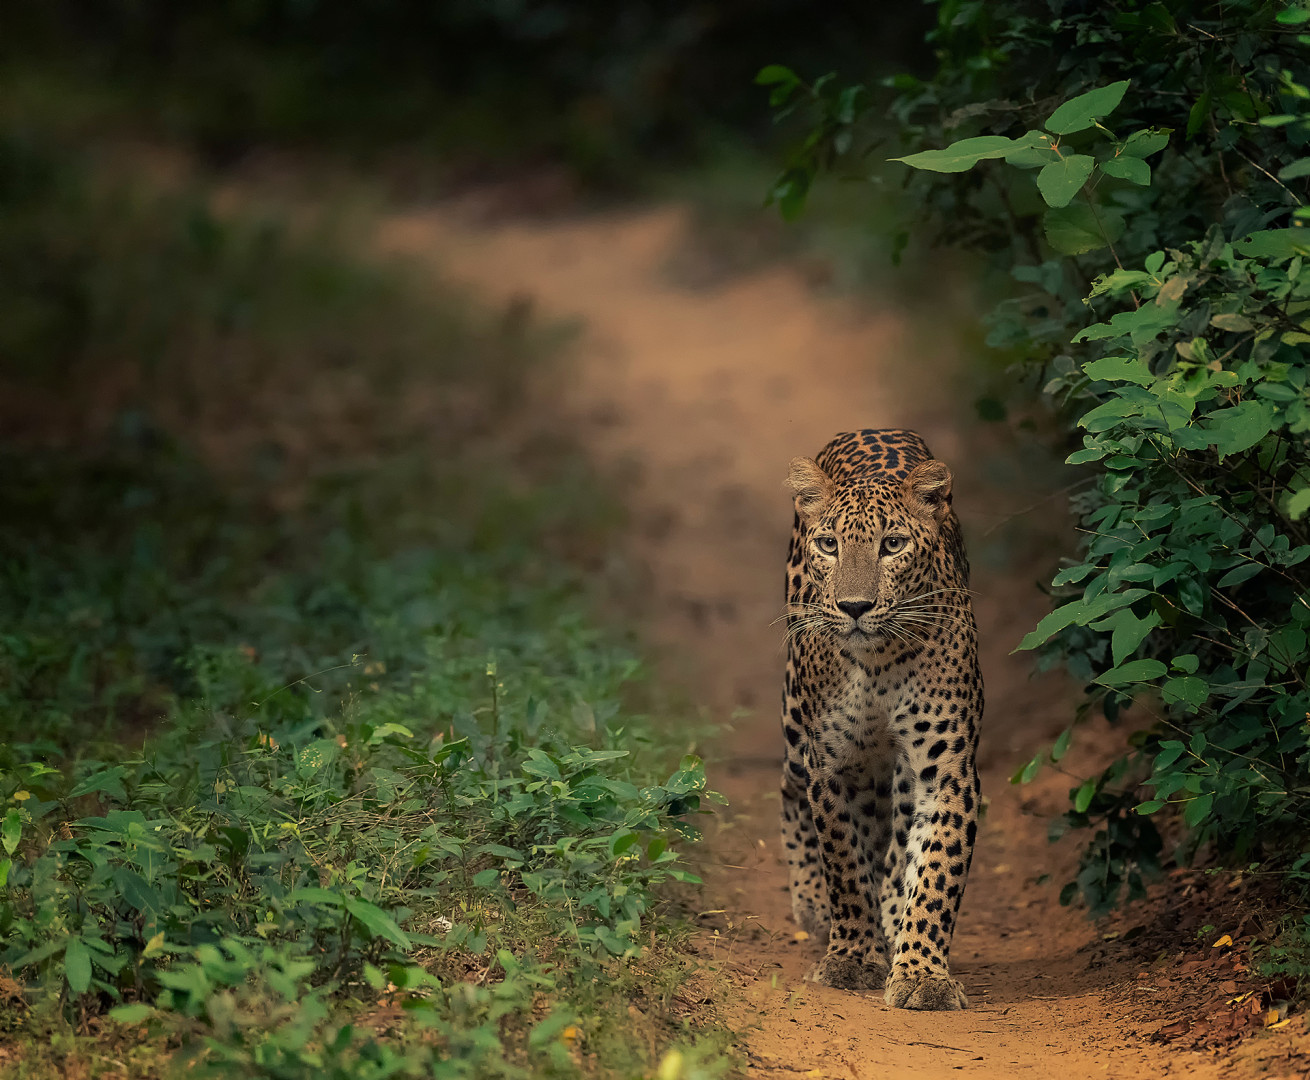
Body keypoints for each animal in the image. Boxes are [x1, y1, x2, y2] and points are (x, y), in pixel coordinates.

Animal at [775, 427, 985, 1011]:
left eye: (893, 545)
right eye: (829, 545)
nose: (854, 606)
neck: (878, 662)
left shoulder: (947, 769)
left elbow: (935, 871)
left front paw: (921, 975)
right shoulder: (831, 766)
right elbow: (845, 867)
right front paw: (850, 957)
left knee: (897, 839)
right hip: (796, 727)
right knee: (788, 789)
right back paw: (812, 905)